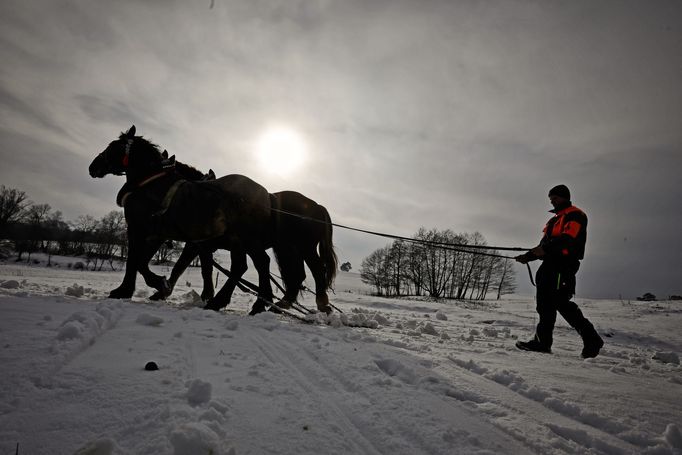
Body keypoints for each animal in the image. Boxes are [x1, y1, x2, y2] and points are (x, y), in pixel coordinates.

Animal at [87, 126, 338, 316]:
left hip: (289, 246)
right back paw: (264, 303)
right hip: (277, 247)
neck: (153, 184)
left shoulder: (147, 230)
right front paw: (166, 289)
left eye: (112, 147)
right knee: (269, 271)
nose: (93, 166)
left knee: (294, 268)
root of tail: (316, 206)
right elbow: (191, 267)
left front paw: (140, 288)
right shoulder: (175, 238)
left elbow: (140, 261)